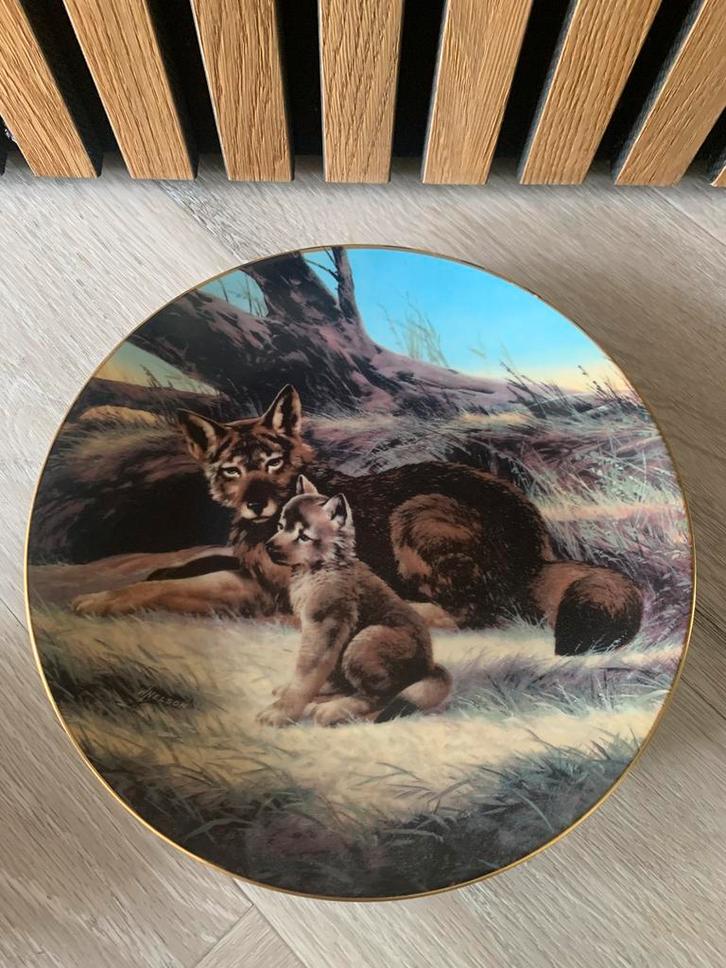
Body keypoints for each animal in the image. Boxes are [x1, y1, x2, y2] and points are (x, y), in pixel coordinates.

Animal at [72, 385, 643, 655]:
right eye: (232, 470)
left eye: (271, 464)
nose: (257, 504)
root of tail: (539, 551)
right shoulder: (247, 571)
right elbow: (185, 570)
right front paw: (125, 585)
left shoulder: (262, 589)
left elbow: (173, 588)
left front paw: (103, 600)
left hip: (417, 512)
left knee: (471, 613)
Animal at [257, 477, 452, 727]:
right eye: (281, 527)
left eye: (304, 536)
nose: (269, 547)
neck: (322, 568)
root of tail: (429, 668)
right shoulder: (320, 633)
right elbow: (315, 672)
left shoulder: (324, 626)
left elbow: (305, 676)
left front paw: (281, 712)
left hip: (365, 639)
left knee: (380, 696)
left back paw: (336, 710)